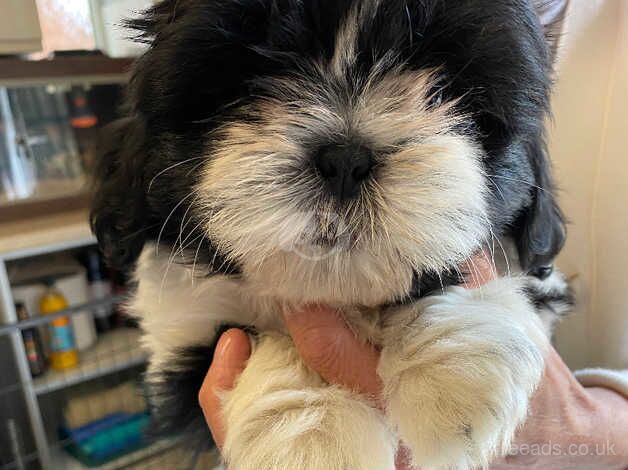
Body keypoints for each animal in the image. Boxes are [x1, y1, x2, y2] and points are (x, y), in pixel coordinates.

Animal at [89, 1, 576, 468]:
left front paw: (453, 370)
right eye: (249, 82)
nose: (345, 158)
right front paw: (312, 433)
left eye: (445, 92)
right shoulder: (182, 338)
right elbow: (264, 337)